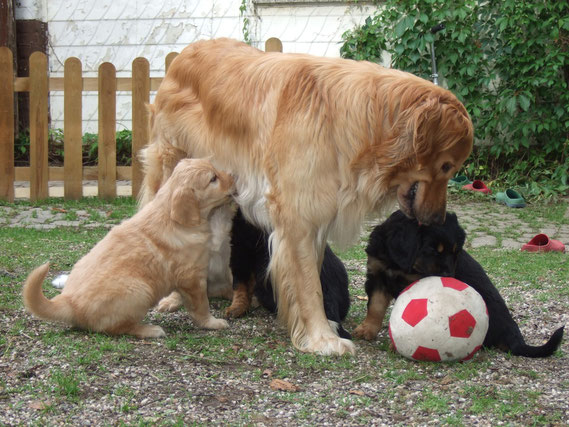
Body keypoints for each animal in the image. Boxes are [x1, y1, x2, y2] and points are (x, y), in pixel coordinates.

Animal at [22, 159, 235, 340]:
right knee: (116, 328)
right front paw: (212, 323)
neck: (170, 214)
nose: (234, 177)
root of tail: (69, 302)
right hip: (140, 290)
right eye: (213, 179)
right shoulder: (192, 276)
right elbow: (200, 305)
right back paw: (150, 330)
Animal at [140, 39, 472, 354]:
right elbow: (308, 283)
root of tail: (184, 53)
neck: (353, 118)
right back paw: (174, 297)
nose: (438, 220)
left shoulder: (317, 213)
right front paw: (322, 338)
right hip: (173, 168)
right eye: (446, 166)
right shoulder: (297, 214)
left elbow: (316, 279)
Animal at [356, 211, 564, 358]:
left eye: (455, 252)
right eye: (433, 250)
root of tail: (514, 337)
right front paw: (367, 329)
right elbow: (375, 307)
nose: (450, 276)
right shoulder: (377, 275)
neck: (396, 263)